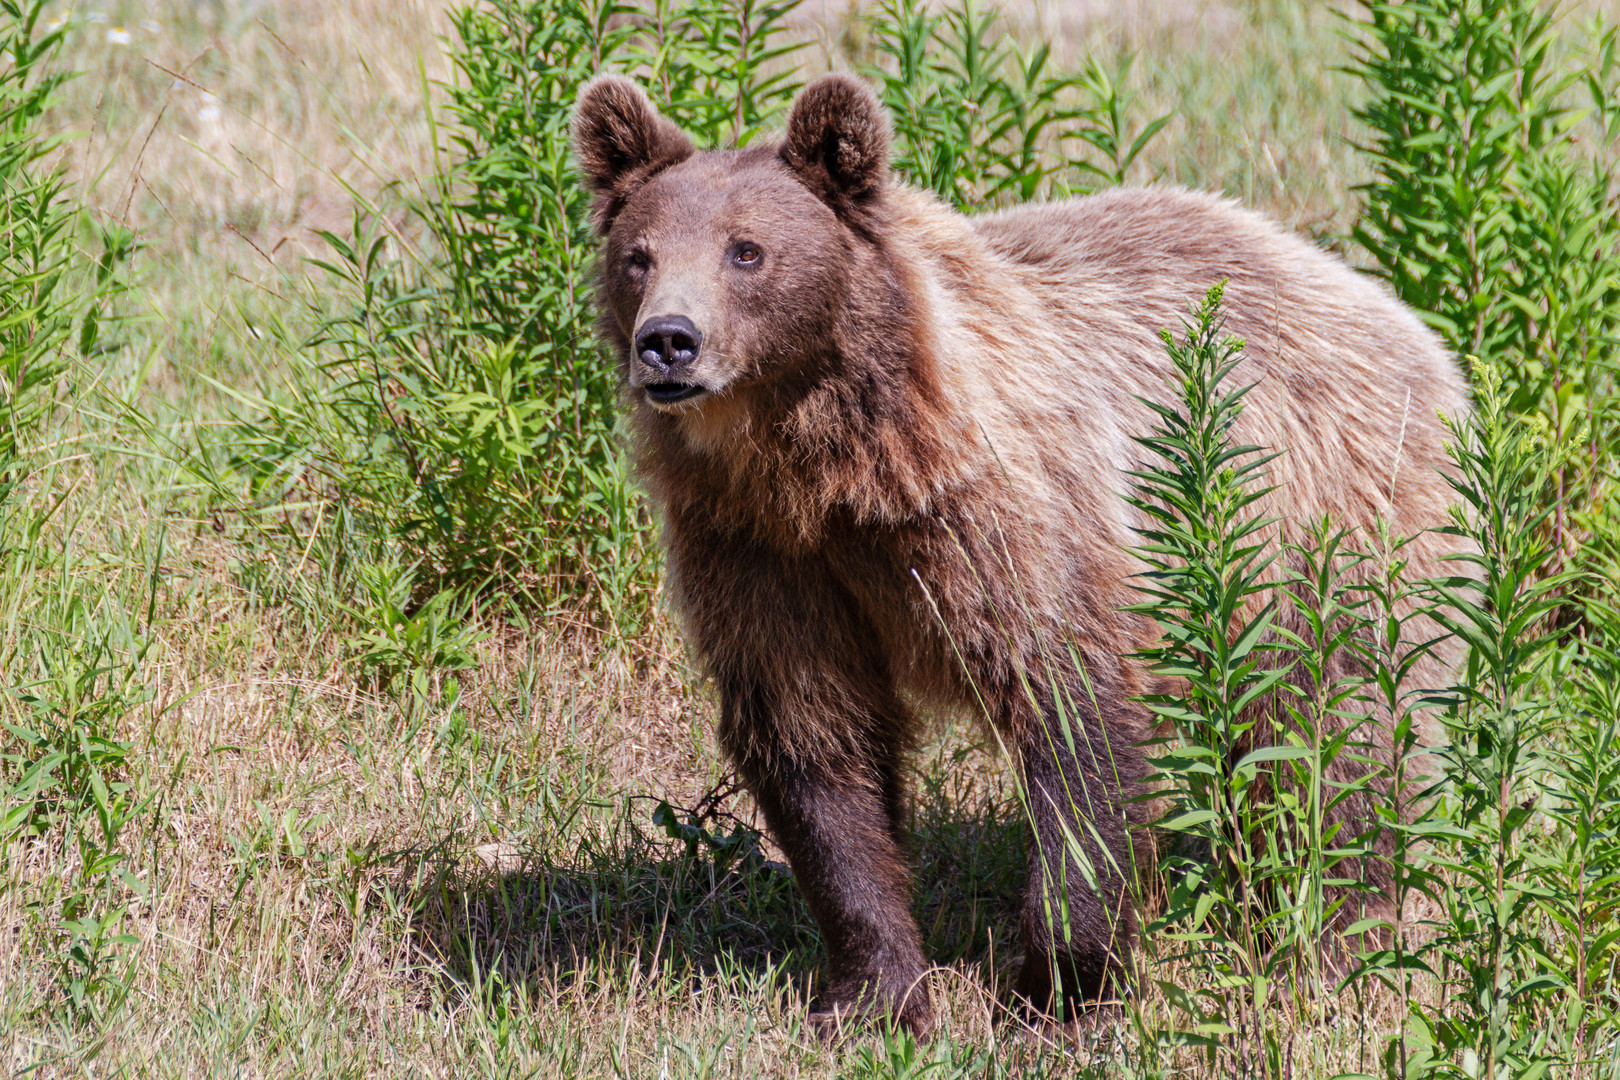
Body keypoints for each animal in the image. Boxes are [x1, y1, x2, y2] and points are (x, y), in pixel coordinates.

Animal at [570, 71, 1470, 1036]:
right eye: (639, 254)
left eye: (747, 251)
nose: (669, 341)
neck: (830, 467)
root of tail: (1400, 317)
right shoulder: (758, 552)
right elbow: (815, 742)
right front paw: (873, 992)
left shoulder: (1004, 517)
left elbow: (1071, 710)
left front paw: (1060, 986)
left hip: (1324, 525)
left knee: (1341, 735)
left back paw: (1338, 937)